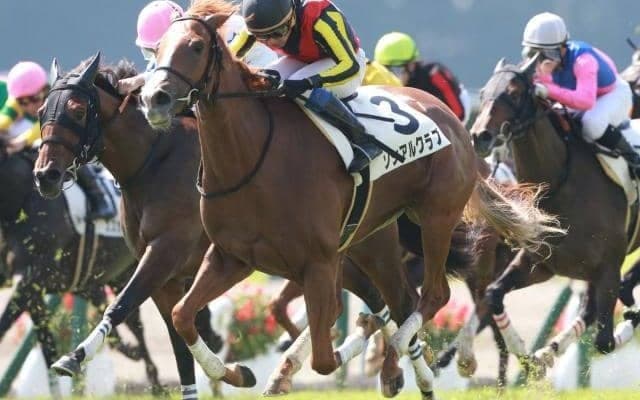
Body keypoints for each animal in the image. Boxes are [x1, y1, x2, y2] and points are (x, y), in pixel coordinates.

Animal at [33, 57, 229, 399]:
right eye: (42, 112)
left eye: (78, 110)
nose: (46, 175)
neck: (154, 164)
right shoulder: (167, 274)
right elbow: (178, 335)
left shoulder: (165, 252)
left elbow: (121, 304)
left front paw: (73, 357)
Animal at [139, 1, 561, 398]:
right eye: (157, 49)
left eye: (195, 46)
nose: (154, 99)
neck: (252, 157)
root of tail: (455, 123)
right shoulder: (232, 257)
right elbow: (181, 314)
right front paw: (236, 372)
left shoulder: (320, 263)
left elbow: (325, 357)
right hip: (375, 240)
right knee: (403, 300)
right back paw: (410, 374)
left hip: (436, 217)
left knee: (432, 296)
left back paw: (395, 358)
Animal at [470, 56, 640, 377]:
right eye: (484, 91)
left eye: (514, 93)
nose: (480, 136)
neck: (562, 186)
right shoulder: (540, 264)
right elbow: (494, 293)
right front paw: (529, 357)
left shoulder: (609, 268)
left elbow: (604, 342)